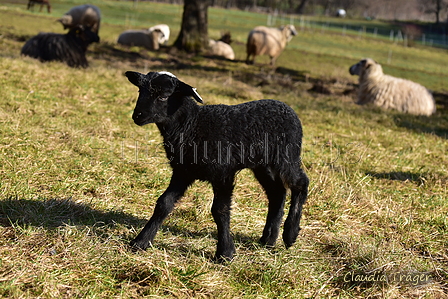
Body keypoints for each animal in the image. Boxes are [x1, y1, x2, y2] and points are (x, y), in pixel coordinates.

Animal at [124, 70, 310, 262]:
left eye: (163, 96)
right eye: (140, 91)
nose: (137, 116)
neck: (192, 125)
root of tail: (288, 108)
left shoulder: (223, 173)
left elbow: (220, 210)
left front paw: (225, 252)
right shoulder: (182, 172)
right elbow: (164, 203)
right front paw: (141, 241)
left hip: (286, 156)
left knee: (301, 183)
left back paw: (290, 234)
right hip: (262, 165)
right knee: (277, 192)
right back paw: (269, 239)